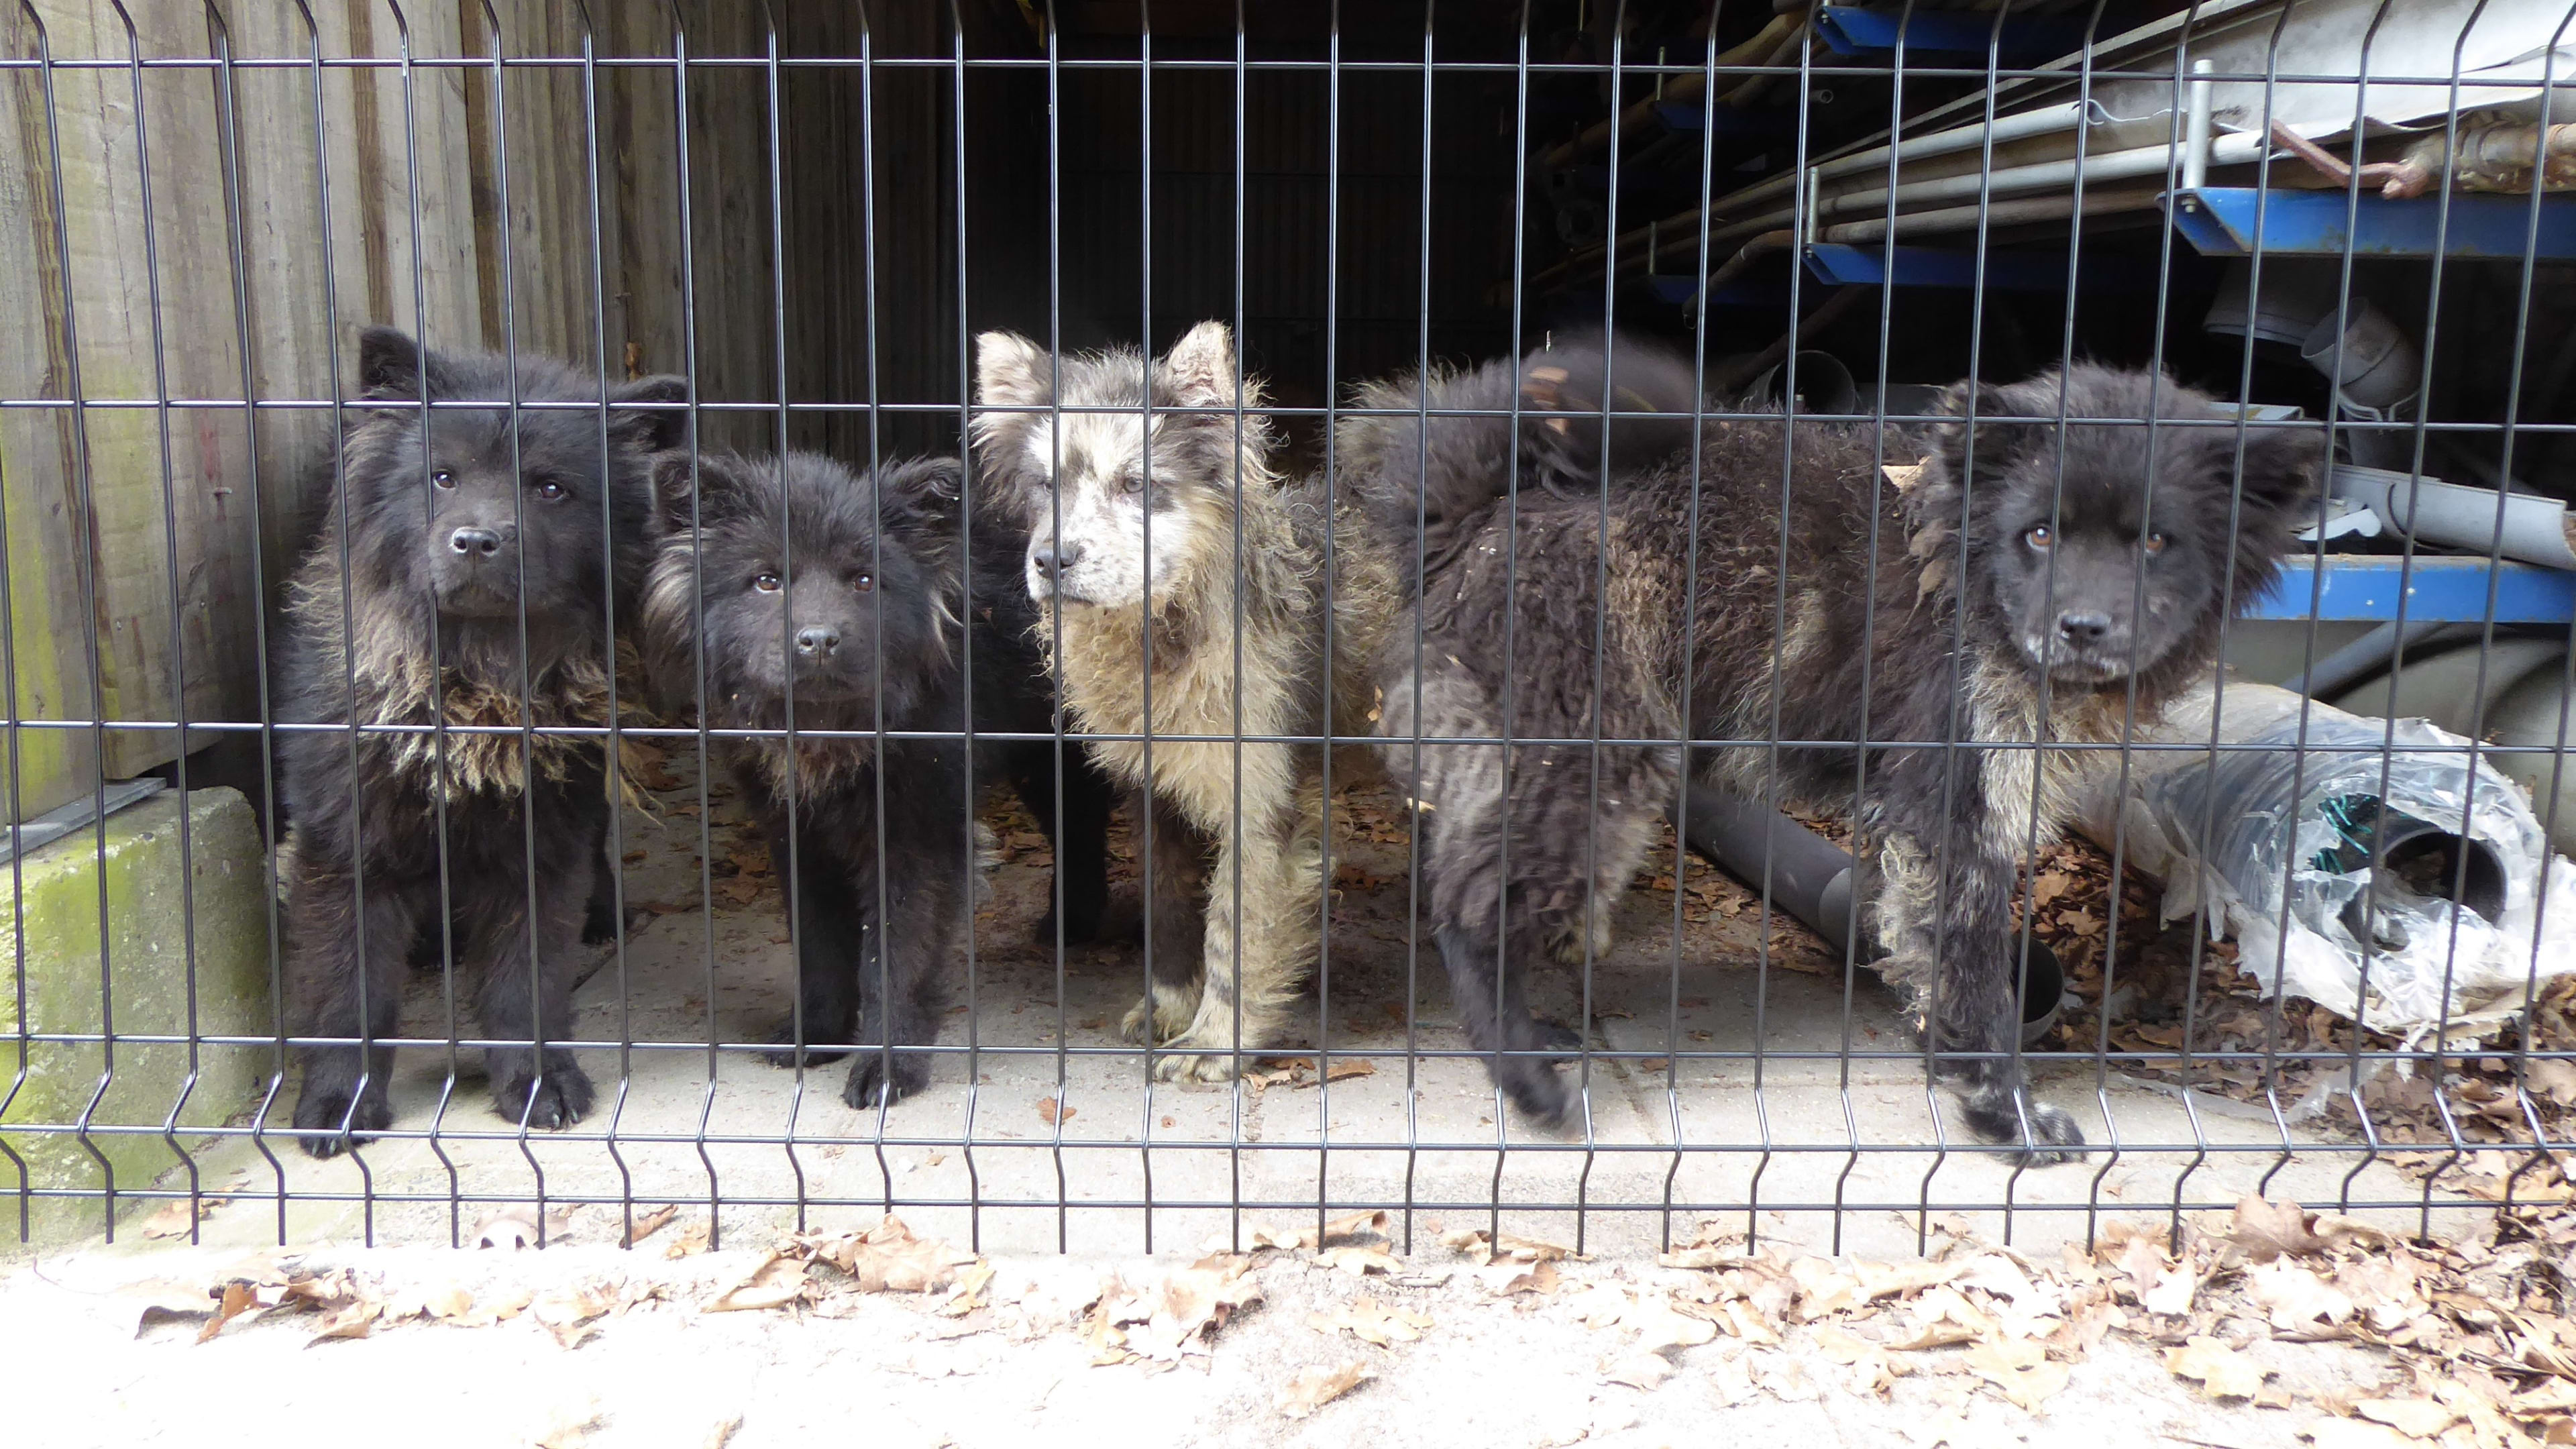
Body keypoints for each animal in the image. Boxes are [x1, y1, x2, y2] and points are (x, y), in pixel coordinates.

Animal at [279, 327, 685, 1150]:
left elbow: (525, 987)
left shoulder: (542, 846)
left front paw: (538, 1084)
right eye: (443, 477)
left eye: (551, 489)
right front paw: (340, 1101)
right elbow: (346, 992)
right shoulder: (345, 847)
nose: (475, 540)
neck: (472, 684)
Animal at [639, 451, 1112, 1103]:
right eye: (767, 581)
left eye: (864, 580)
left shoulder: (917, 837)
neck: (835, 733)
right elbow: (818, 945)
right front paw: (815, 1035)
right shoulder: (796, 835)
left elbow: (897, 959)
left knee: (1086, 819)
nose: (817, 642)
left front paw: (888, 1070)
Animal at [1381, 363, 2328, 1160]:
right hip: (1585, 758)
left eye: (2158, 543)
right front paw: (2004, 1114)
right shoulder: (1959, 810)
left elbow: (1915, 946)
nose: (2084, 628)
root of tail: (1483, 515)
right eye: (2040, 534)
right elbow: (1971, 980)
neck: (1966, 568)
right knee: (1466, 910)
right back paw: (1524, 1074)